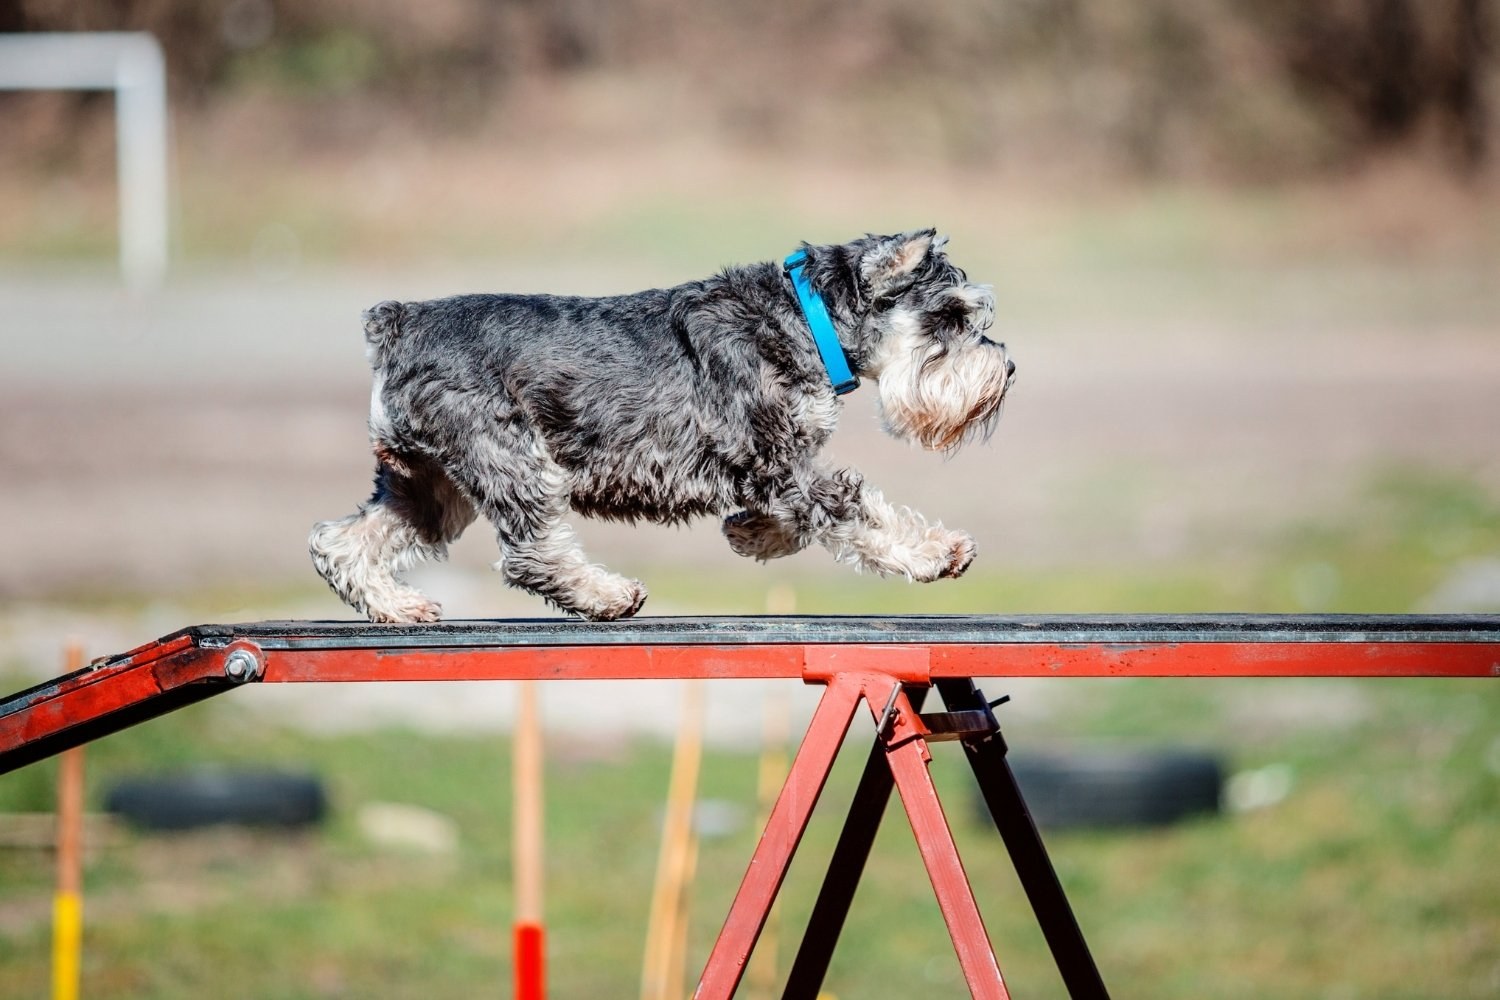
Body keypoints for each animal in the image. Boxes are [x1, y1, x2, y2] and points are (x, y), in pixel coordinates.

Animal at [309, 233, 1014, 620]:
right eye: (952, 314)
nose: (1006, 368)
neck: (806, 319)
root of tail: (399, 322)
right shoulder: (777, 461)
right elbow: (857, 512)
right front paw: (935, 551)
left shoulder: (776, 468)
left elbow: (798, 518)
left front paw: (750, 534)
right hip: (513, 462)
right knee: (530, 556)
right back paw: (606, 594)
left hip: (429, 485)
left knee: (339, 542)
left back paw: (397, 606)